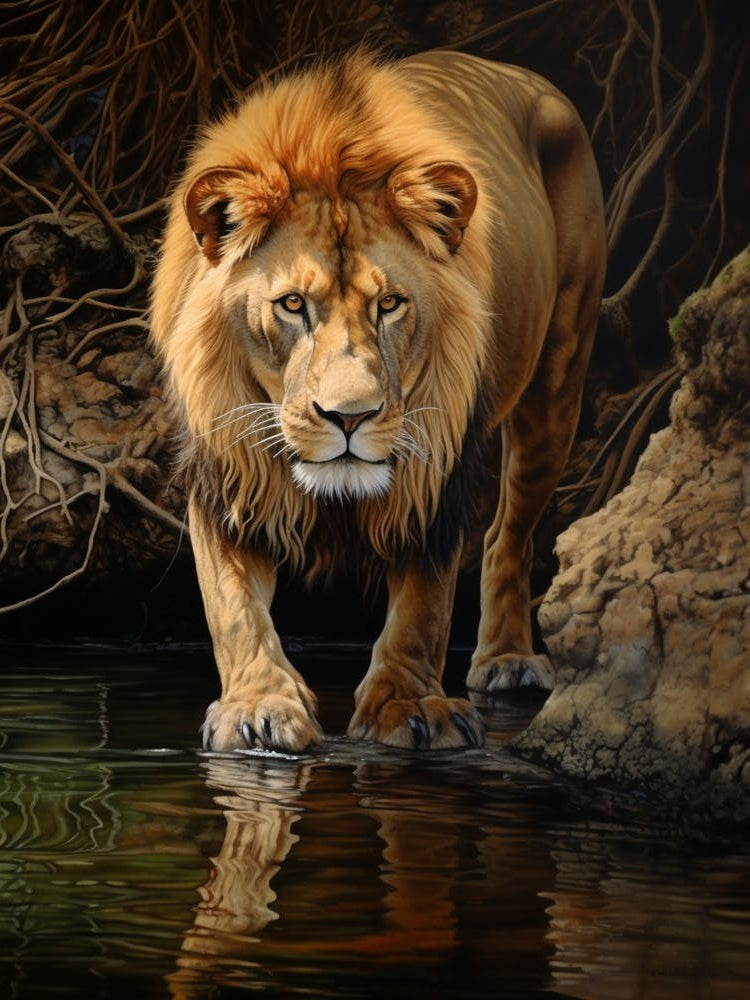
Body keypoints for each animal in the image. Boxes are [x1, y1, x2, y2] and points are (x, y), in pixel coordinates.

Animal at [151, 49, 606, 753]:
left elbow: (423, 603)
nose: (350, 417)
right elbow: (233, 606)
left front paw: (408, 705)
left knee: (508, 532)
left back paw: (505, 660)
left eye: (389, 303)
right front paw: (259, 709)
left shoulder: (434, 464)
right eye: (292, 304)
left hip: (559, 376)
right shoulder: (227, 469)